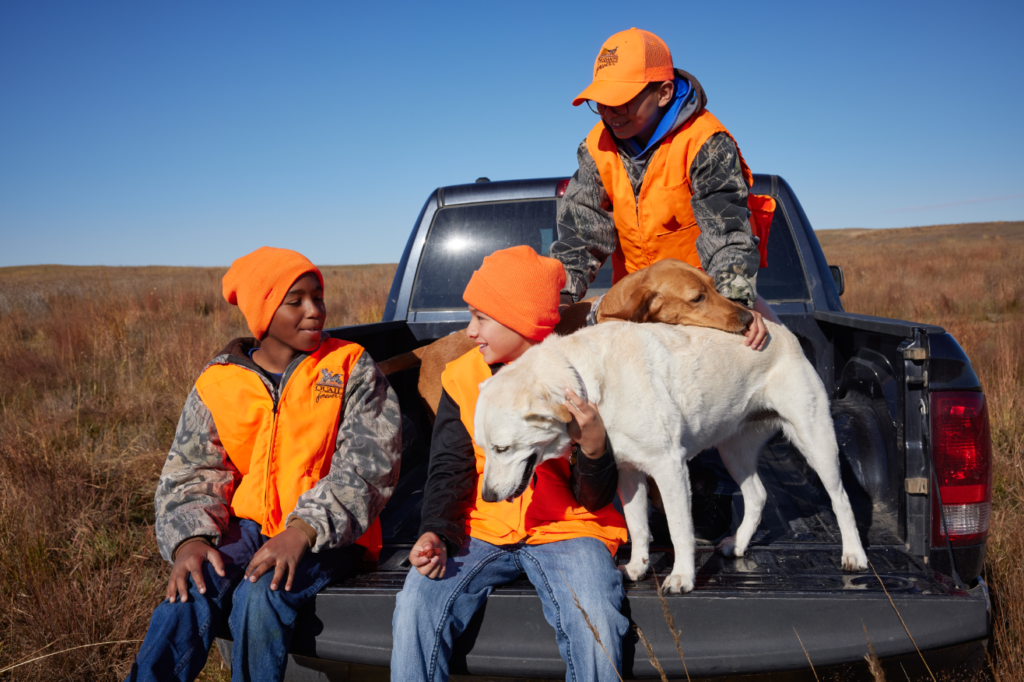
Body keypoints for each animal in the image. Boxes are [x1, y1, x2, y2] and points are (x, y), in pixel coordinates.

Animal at [475, 319, 868, 589]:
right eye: (484, 448)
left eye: (502, 448)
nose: (488, 497)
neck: (587, 382)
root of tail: (783, 331)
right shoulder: (629, 473)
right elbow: (638, 526)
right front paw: (638, 567)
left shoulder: (669, 467)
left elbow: (679, 531)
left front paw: (682, 578)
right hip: (733, 450)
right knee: (758, 495)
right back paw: (738, 545)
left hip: (815, 440)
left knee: (841, 500)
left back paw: (854, 555)